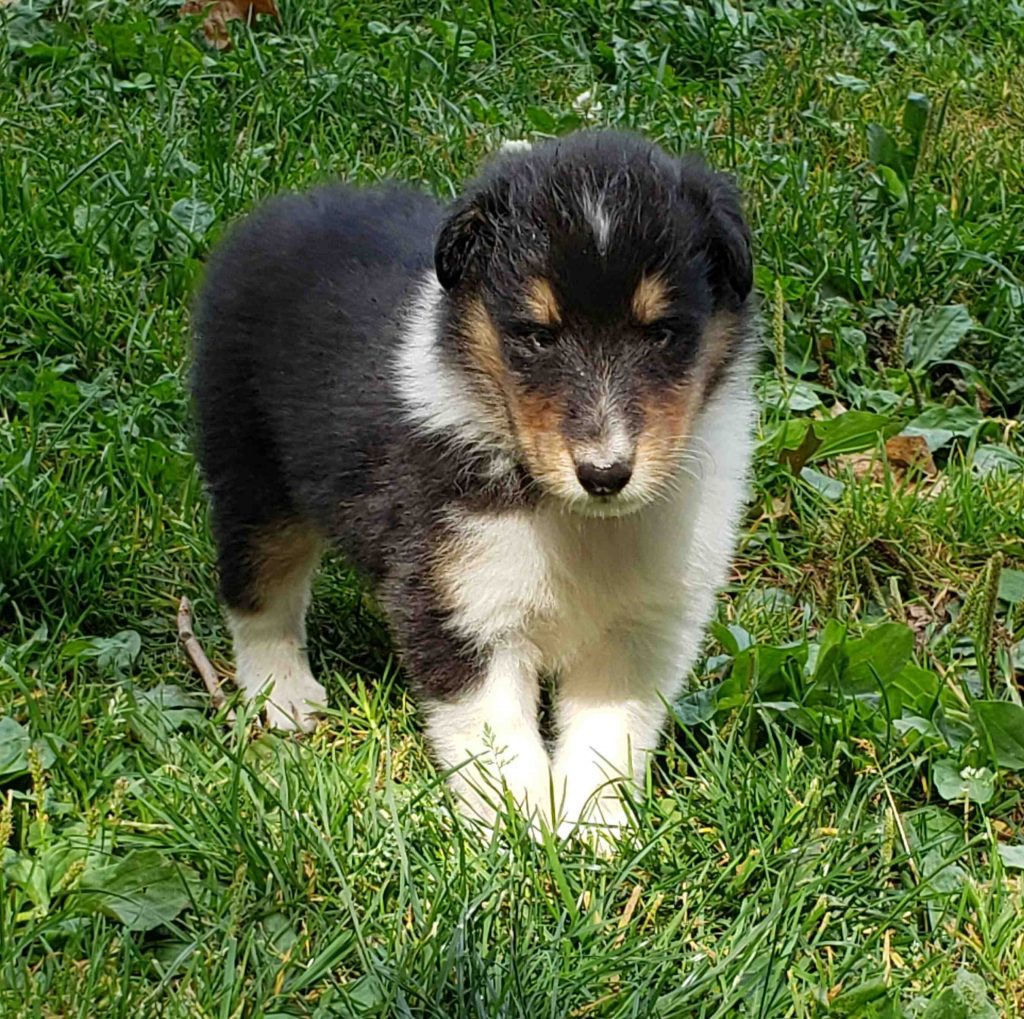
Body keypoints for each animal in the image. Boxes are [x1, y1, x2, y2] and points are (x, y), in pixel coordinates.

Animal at [192, 131, 757, 839]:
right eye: (537, 336)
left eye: (662, 333)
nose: (604, 474)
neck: (573, 520)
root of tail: (279, 212)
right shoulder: (457, 601)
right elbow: (494, 734)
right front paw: (517, 832)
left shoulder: (645, 625)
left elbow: (610, 732)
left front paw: (593, 831)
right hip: (252, 468)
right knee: (258, 587)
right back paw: (284, 694)